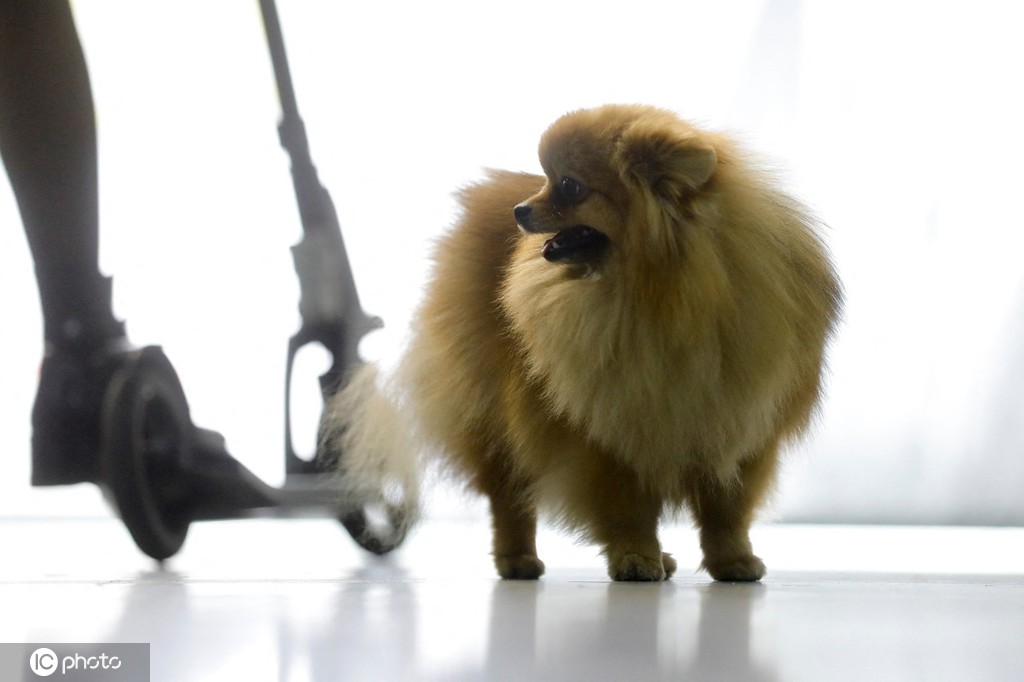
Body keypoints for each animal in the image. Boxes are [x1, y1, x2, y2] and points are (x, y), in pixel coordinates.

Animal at [323, 104, 842, 581]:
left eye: (570, 186)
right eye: (547, 180)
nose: (520, 211)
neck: (661, 295)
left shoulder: (737, 425)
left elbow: (726, 510)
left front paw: (732, 561)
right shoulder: (604, 435)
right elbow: (627, 507)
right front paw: (634, 557)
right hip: (495, 418)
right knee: (509, 497)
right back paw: (518, 560)